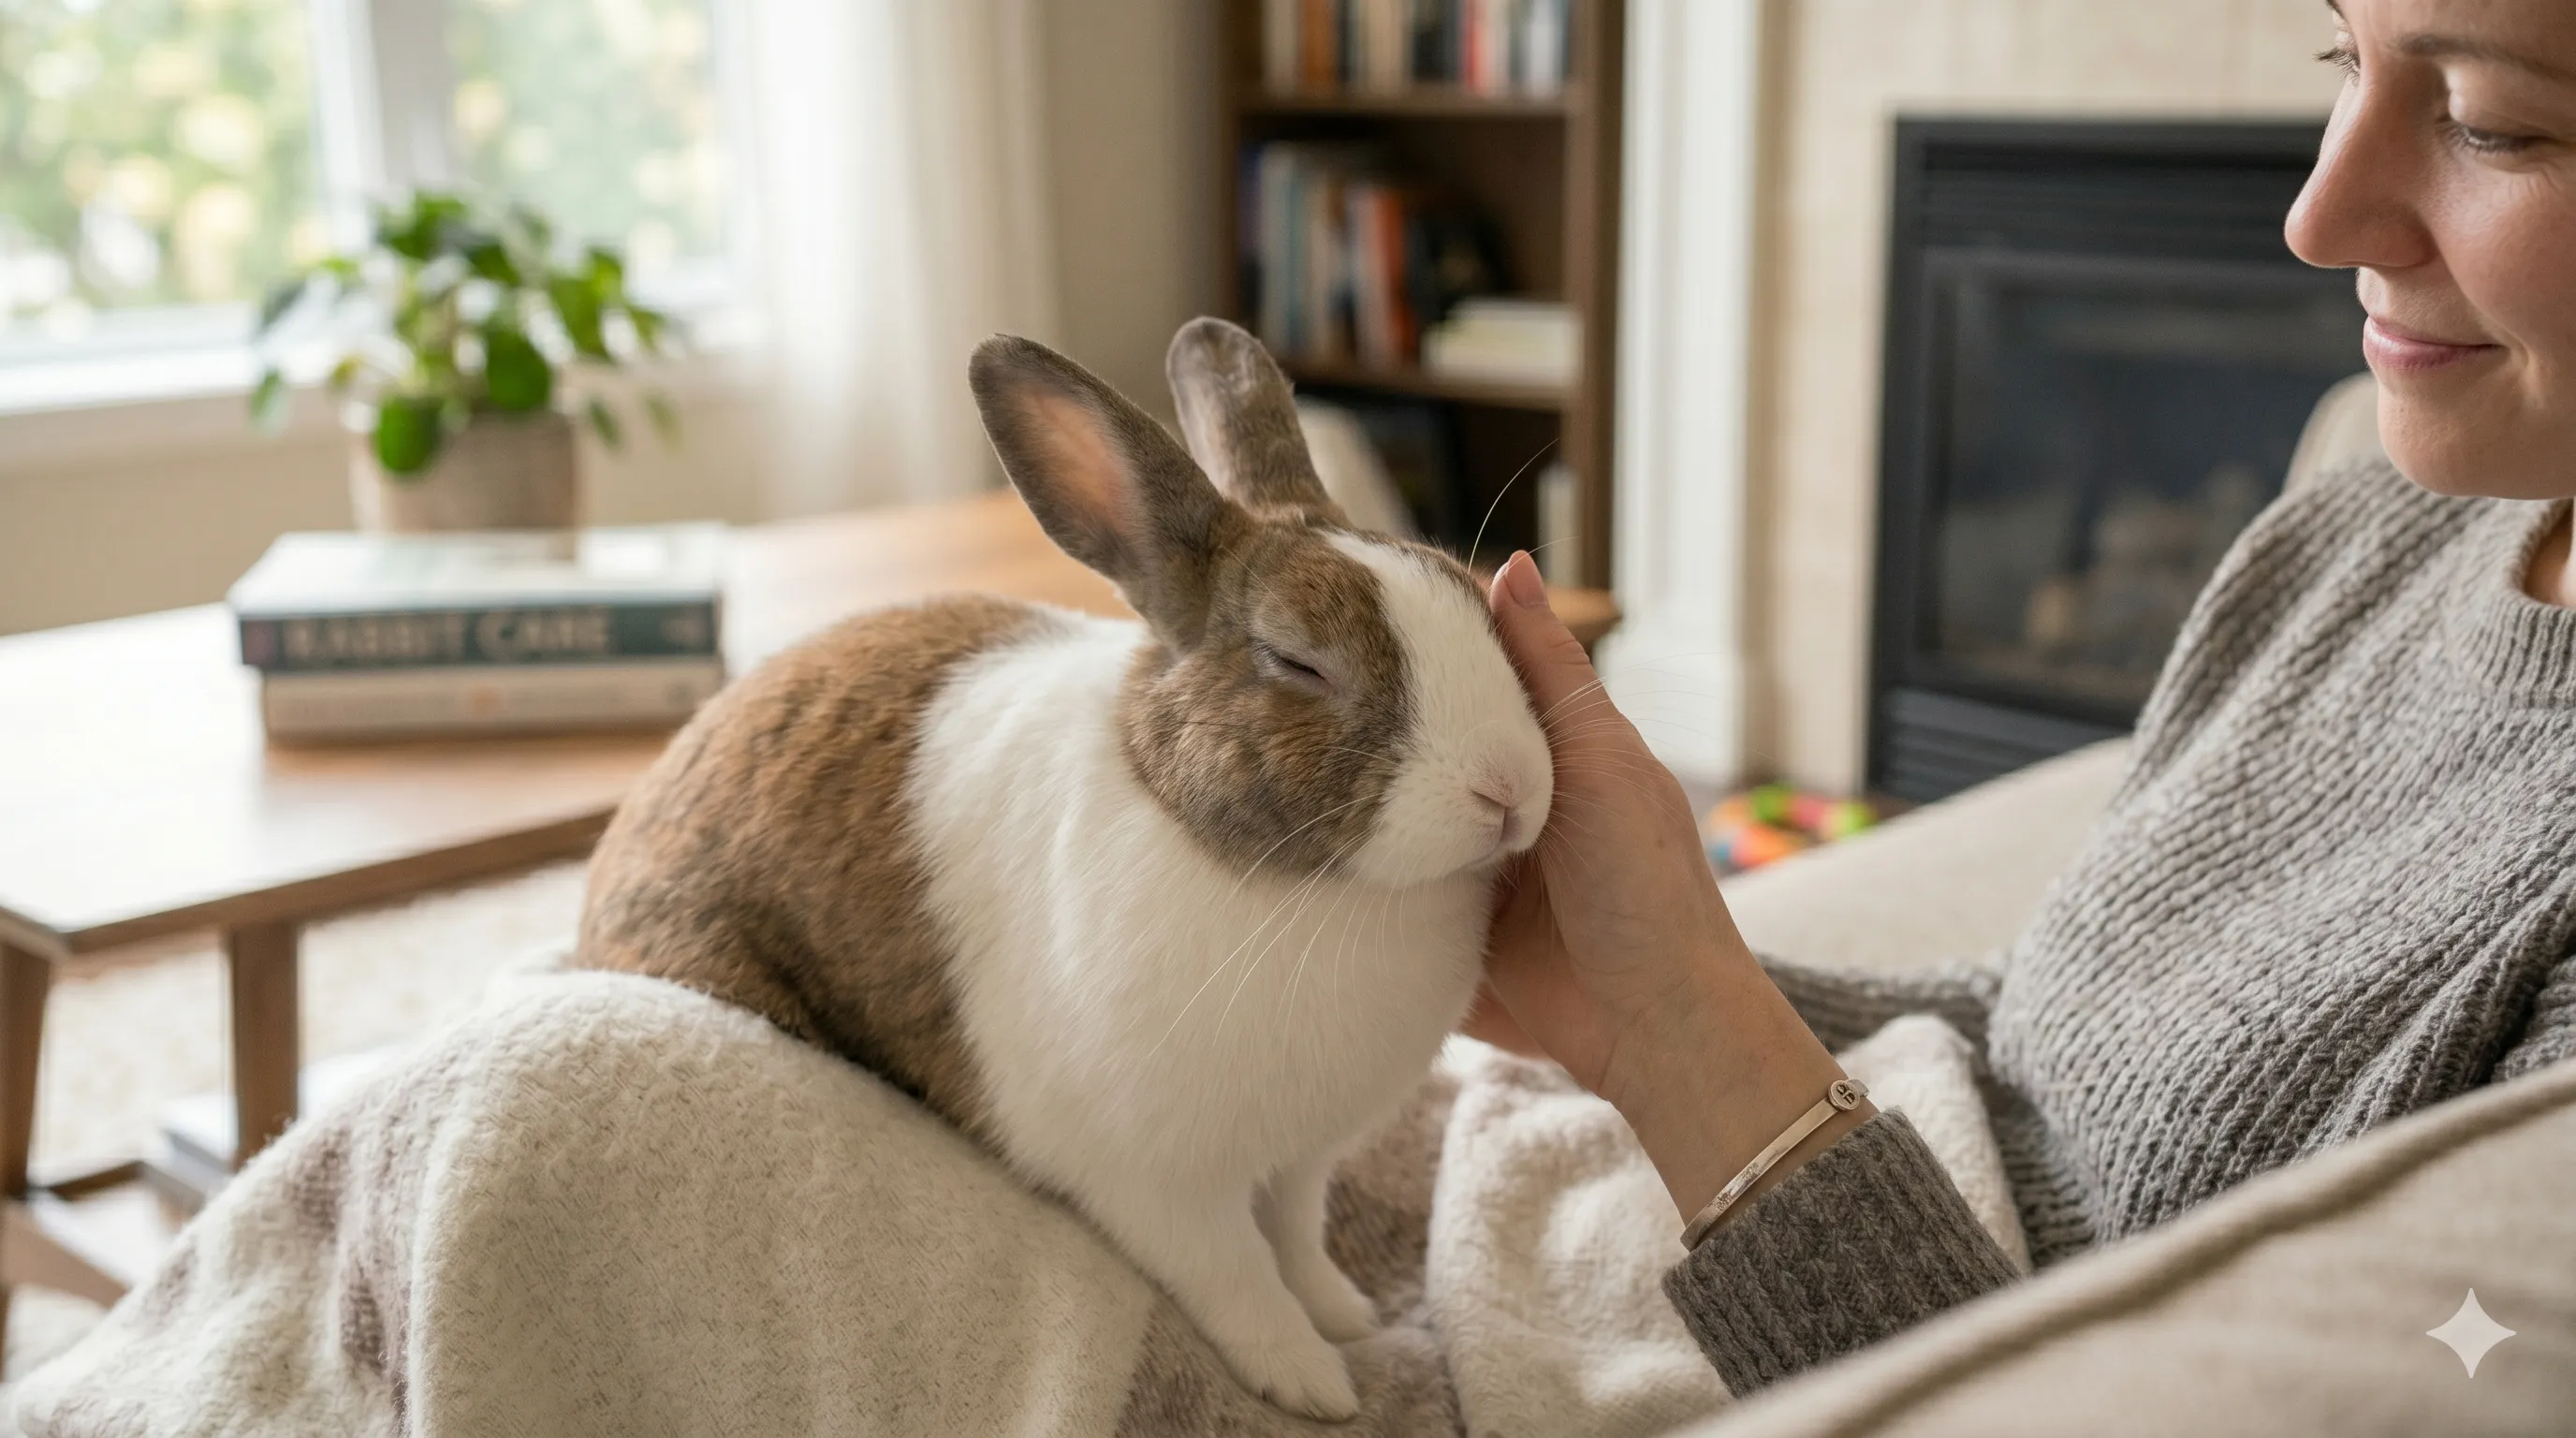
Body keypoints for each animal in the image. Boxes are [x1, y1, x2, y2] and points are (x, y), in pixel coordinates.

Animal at [576, 317, 1553, 1420]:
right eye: (1298, 662)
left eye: (1475, 603)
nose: (1510, 790)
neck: (1298, 886)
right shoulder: (1164, 1188)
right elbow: (1241, 1280)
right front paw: (1311, 1382)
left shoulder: (1301, 1159)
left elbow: (1298, 1241)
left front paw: (1345, 1314)